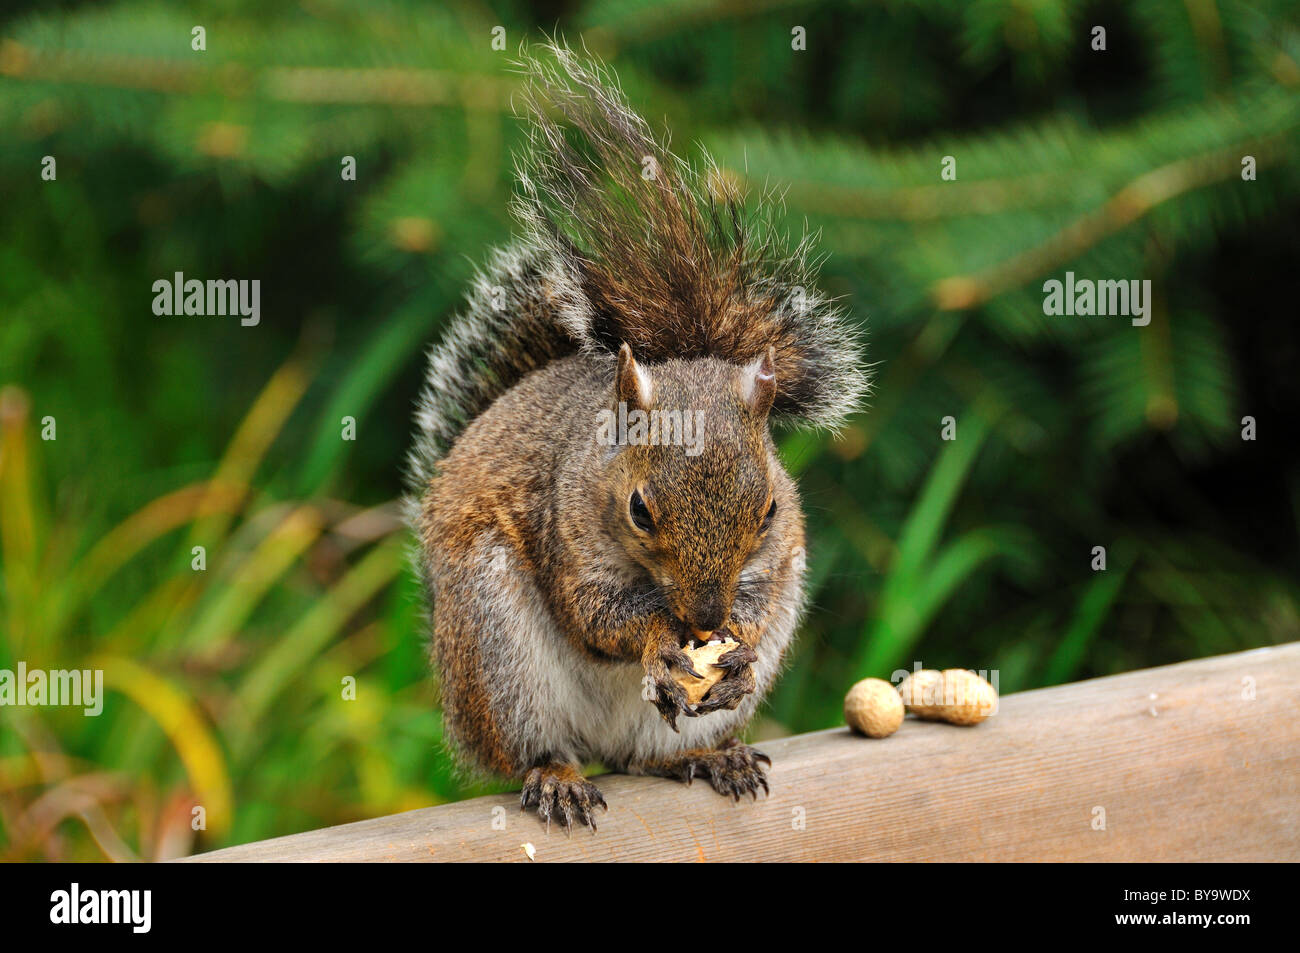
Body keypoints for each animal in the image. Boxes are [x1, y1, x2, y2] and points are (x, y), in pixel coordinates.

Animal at [406, 43, 868, 832]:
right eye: (640, 511)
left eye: (770, 509)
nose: (704, 619)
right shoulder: (565, 532)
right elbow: (597, 613)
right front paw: (655, 636)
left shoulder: (777, 559)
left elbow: (758, 600)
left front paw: (736, 644)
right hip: (494, 650)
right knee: (533, 747)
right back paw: (556, 775)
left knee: (645, 757)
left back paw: (710, 755)